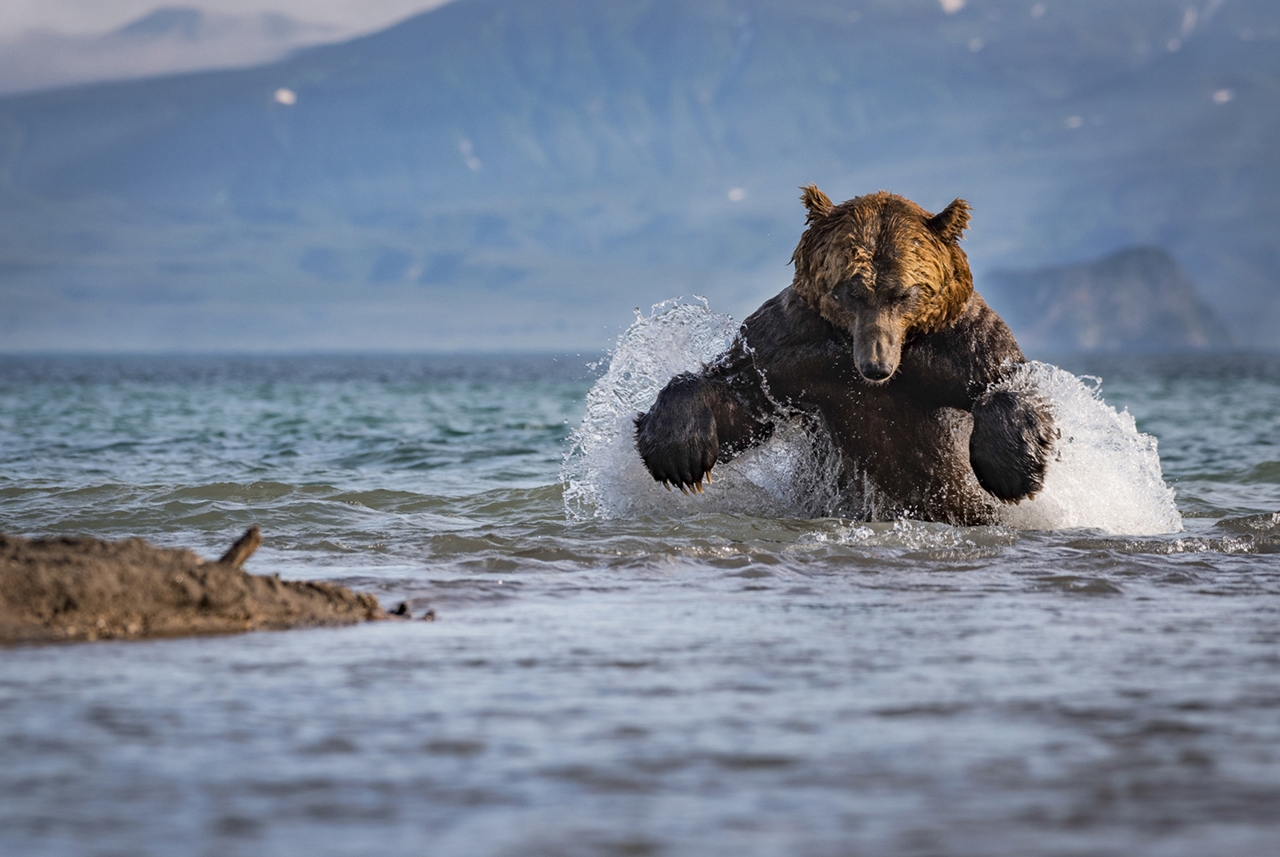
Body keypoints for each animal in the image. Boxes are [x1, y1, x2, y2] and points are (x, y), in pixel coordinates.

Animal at [634, 184, 1054, 526]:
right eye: (851, 291)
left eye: (903, 293)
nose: (876, 366)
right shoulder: (786, 349)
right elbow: (738, 401)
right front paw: (678, 452)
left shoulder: (958, 344)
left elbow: (1008, 380)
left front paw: (1014, 468)